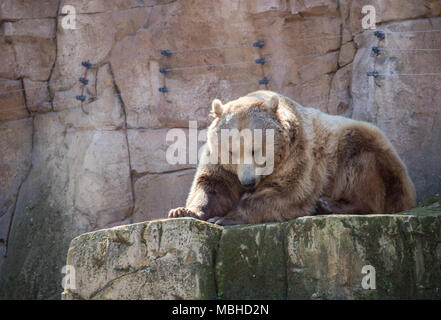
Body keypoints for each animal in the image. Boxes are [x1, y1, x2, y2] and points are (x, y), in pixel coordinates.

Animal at [167, 90, 414, 225]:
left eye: (257, 149)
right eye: (232, 151)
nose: (247, 182)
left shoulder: (300, 154)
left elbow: (289, 192)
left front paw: (227, 217)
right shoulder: (219, 160)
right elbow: (213, 185)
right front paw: (182, 210)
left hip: (365, 145)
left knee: (363, 167)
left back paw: (331, 205)